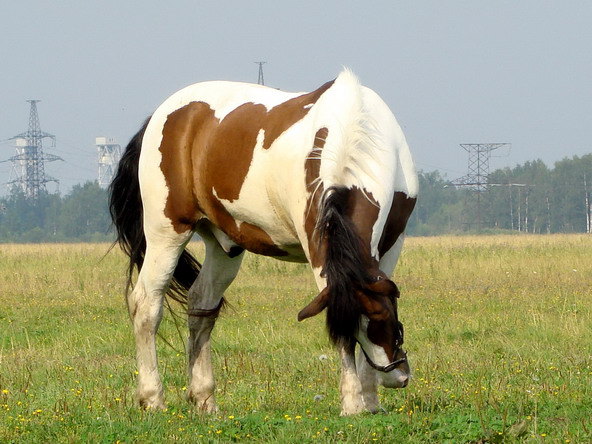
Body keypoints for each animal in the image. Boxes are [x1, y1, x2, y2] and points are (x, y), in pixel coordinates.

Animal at [108, 69, 418, 416]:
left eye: (383, 320)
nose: (397, 376)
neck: (355, 131)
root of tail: (163, 114)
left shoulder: (392, 242)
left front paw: (370, 401)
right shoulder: (319, 249)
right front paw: (353, 403)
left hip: (224, 245)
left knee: (201, 304)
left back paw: (204, 399)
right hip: (166, 232)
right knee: (146, 303)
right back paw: (152, 398)